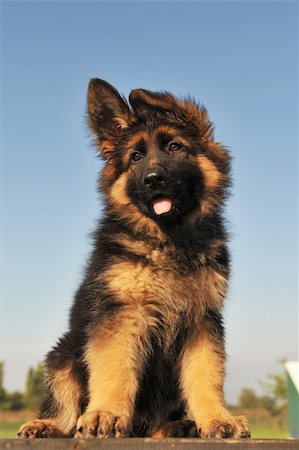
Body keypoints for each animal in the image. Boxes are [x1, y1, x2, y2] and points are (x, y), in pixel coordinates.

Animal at [18, 79, 251, 438]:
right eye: (136, 157)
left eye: (175, 147)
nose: (153, 179)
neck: (167, 240)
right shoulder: (122, 313)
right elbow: (115, 368)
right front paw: (105, 413)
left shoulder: (203, 319)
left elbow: (206, 375)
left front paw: (217, 418)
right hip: (64, 354)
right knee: (65, 408)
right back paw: (47, 424)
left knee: (155, 420)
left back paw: (176, 426)